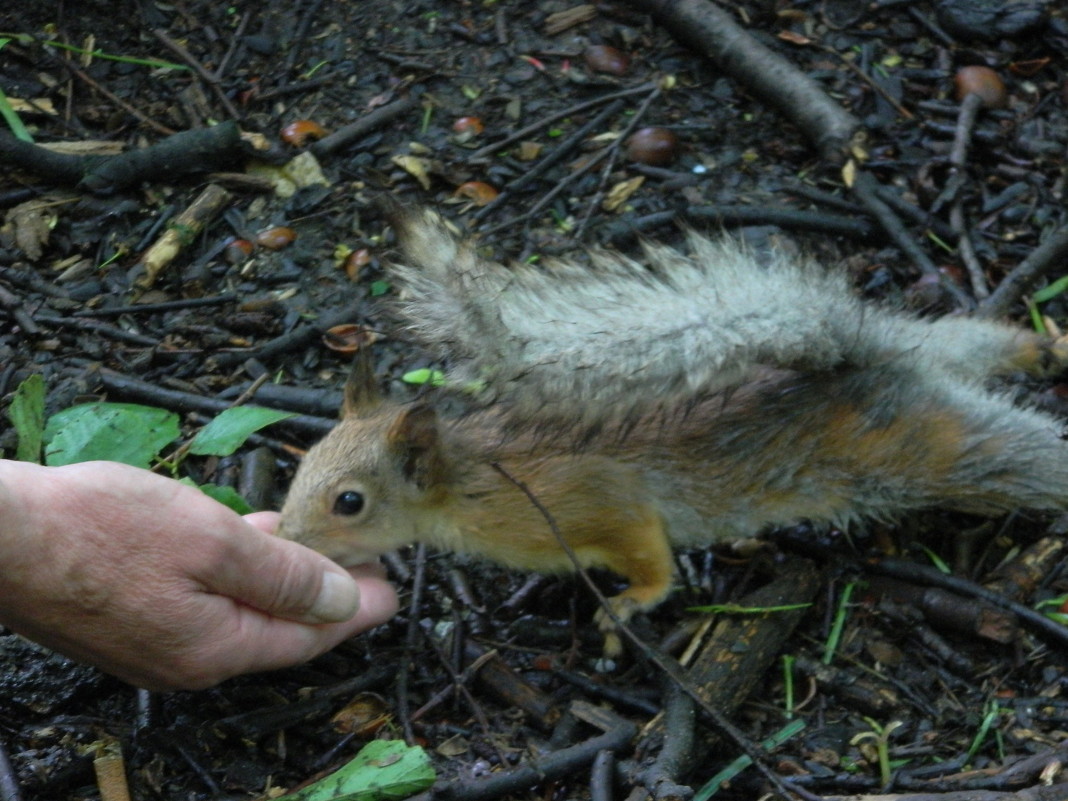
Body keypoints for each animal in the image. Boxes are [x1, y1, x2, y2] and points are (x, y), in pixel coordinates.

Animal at [279, 205, 1068, 653]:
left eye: (349, 501)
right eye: (302, 465)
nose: (288, 538)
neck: (471, 476)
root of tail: (872, 361)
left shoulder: (596, 503)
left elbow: (652, 559)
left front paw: (630, 604)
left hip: (931, 448)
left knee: (1023, 453)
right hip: (928, 354)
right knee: (963, 340)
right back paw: (1032, 346)